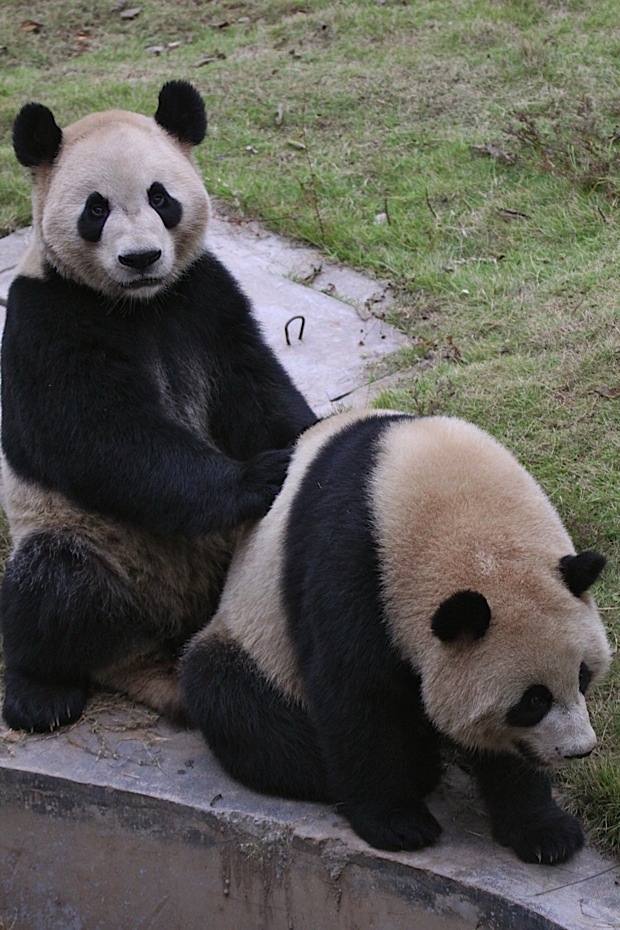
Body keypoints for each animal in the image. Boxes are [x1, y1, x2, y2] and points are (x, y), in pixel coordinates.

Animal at [1, 80, 314, 732]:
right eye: (95, 209)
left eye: (160, 196)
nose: (141, 258)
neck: (139, 305)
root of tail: (143, 653)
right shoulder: (46, 316)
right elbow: (97, 432)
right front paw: (262, 477)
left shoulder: (205, 298)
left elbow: (254, 388)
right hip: (84, 538)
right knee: (50, 588)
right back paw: (40, 692)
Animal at [180, 410, 612, 868]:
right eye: (533, 701)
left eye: (583, 677)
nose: (579, 749)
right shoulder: (353, 564)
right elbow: (357, 695)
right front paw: (398, 822)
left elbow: (509, 748)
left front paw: (545, 830)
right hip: (253, 639)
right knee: (239, 705)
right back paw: (417, 766)